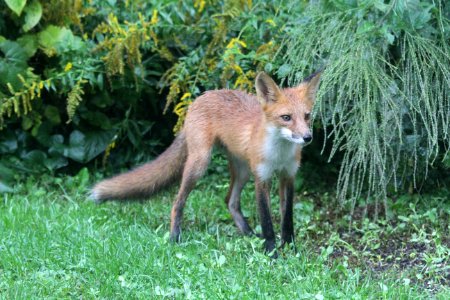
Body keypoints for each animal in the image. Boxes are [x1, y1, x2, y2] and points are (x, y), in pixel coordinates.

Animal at [91, 71, 322, 254]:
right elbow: (267, 221)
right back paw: (175, 237)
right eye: (286, 118)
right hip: (200, 163)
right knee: (177, 201)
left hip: (243, 170)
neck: (279, 154)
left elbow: (287, 219)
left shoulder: (288, 175)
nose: (307, 137)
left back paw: (248, 234)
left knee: (230, 201)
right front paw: (272, 252)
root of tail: (202, 96)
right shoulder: (262, 177)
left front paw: (290, 248)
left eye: (307, 116)